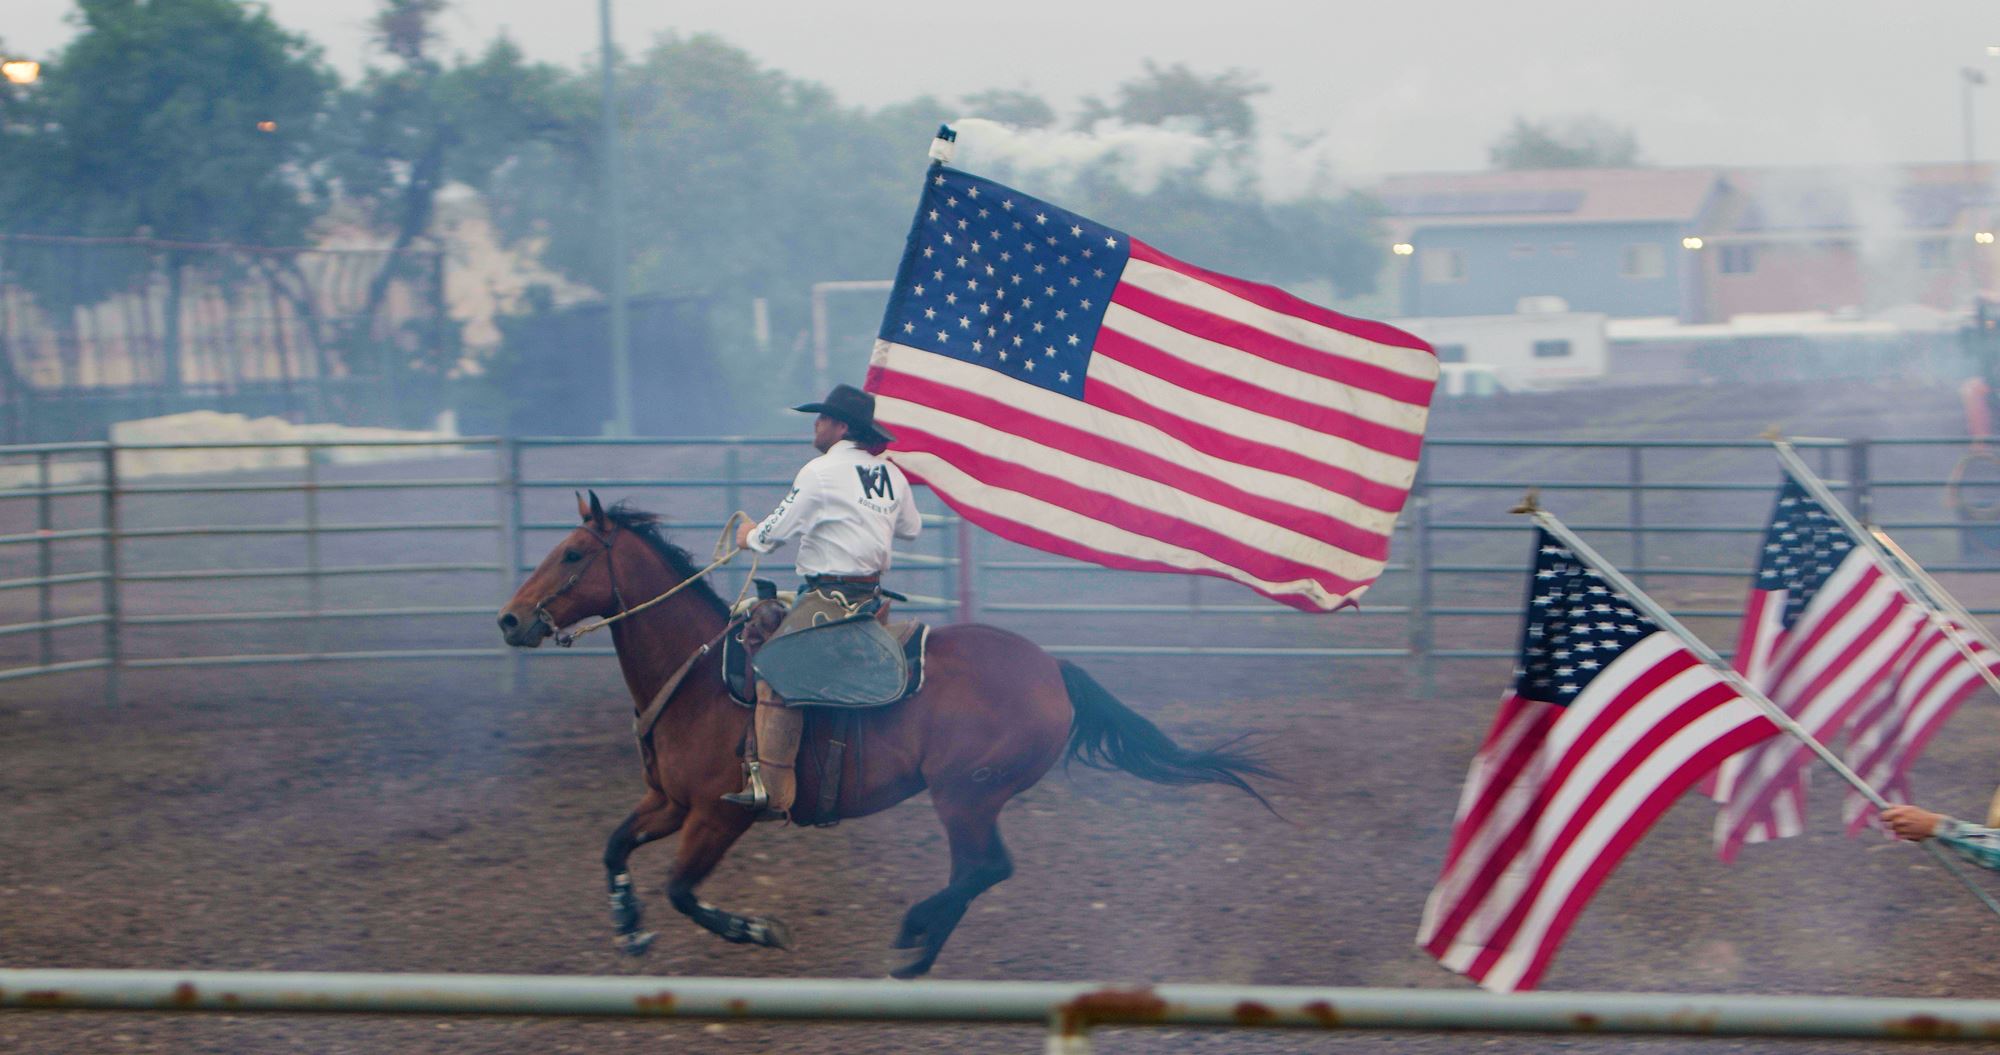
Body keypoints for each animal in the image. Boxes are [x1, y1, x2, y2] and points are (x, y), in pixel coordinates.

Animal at [494, 489, 1264, 975]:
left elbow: (683, 889)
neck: (703, 677)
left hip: (965, 793)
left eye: (572, 554)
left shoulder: (718, 815)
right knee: (978, 871)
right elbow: (612, 847)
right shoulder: (670, 803)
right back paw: (917, 953)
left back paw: (912, 938)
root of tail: (1053, 669)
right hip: (968, 796)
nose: (509, 619)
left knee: (985, 867)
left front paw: (759, 930)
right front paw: (629, 926)